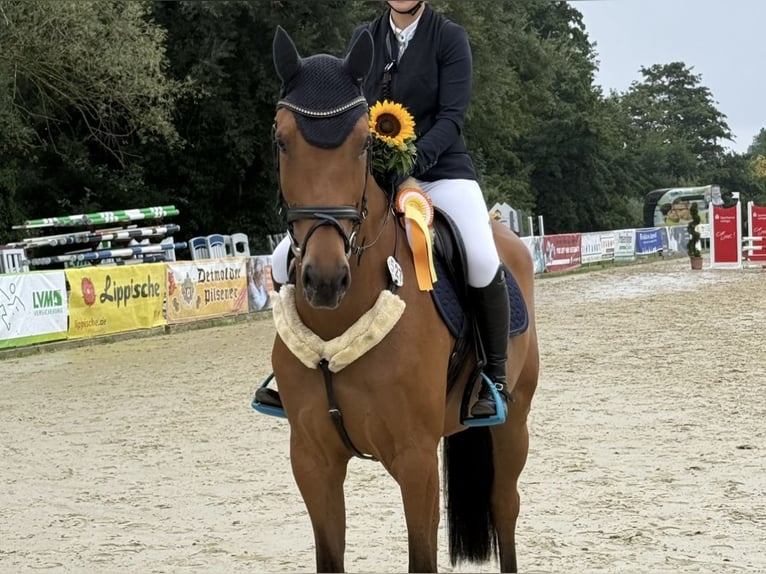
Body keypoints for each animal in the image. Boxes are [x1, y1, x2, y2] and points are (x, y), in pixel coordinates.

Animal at [267, 26, 539, 573]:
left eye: (364, 144)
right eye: (281, 140)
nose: (324, 280)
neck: (336, 327)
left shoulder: (415, 460)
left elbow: (422, 556)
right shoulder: (311, 461)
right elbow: (329, 555)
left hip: (514, 419)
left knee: (505, 507)